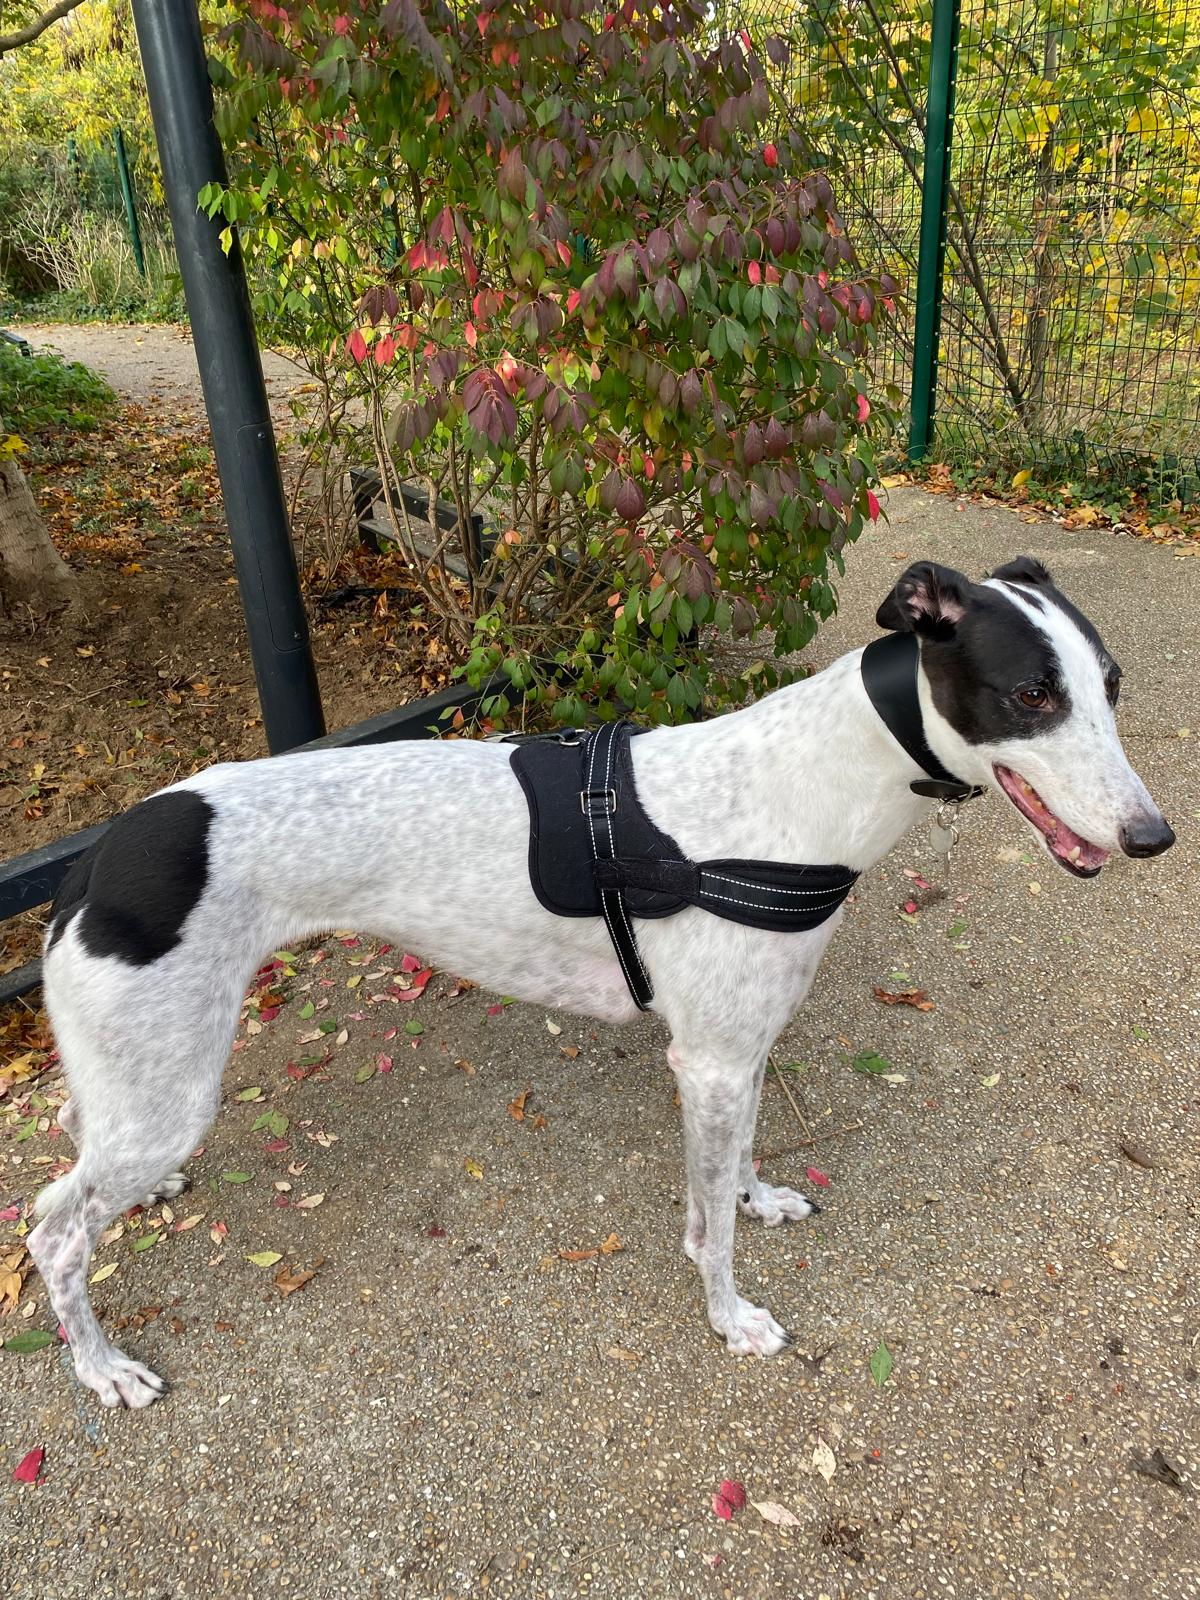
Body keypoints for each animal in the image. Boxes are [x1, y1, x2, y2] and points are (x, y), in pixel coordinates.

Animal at [29, 557, 1174, 1407]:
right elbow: (705, 1230)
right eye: (1032, 694)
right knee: (52, 1229)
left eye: (1112, 683)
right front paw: (731, 1319)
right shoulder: (705, 1061)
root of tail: (101, 854)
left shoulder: (738, 1053)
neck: (804, 784)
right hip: (171, 1093)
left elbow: (737, 1164)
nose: (1153, 837)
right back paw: (103, 1368)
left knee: (82, 1159)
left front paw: (759, 1196)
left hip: (140, 1086)